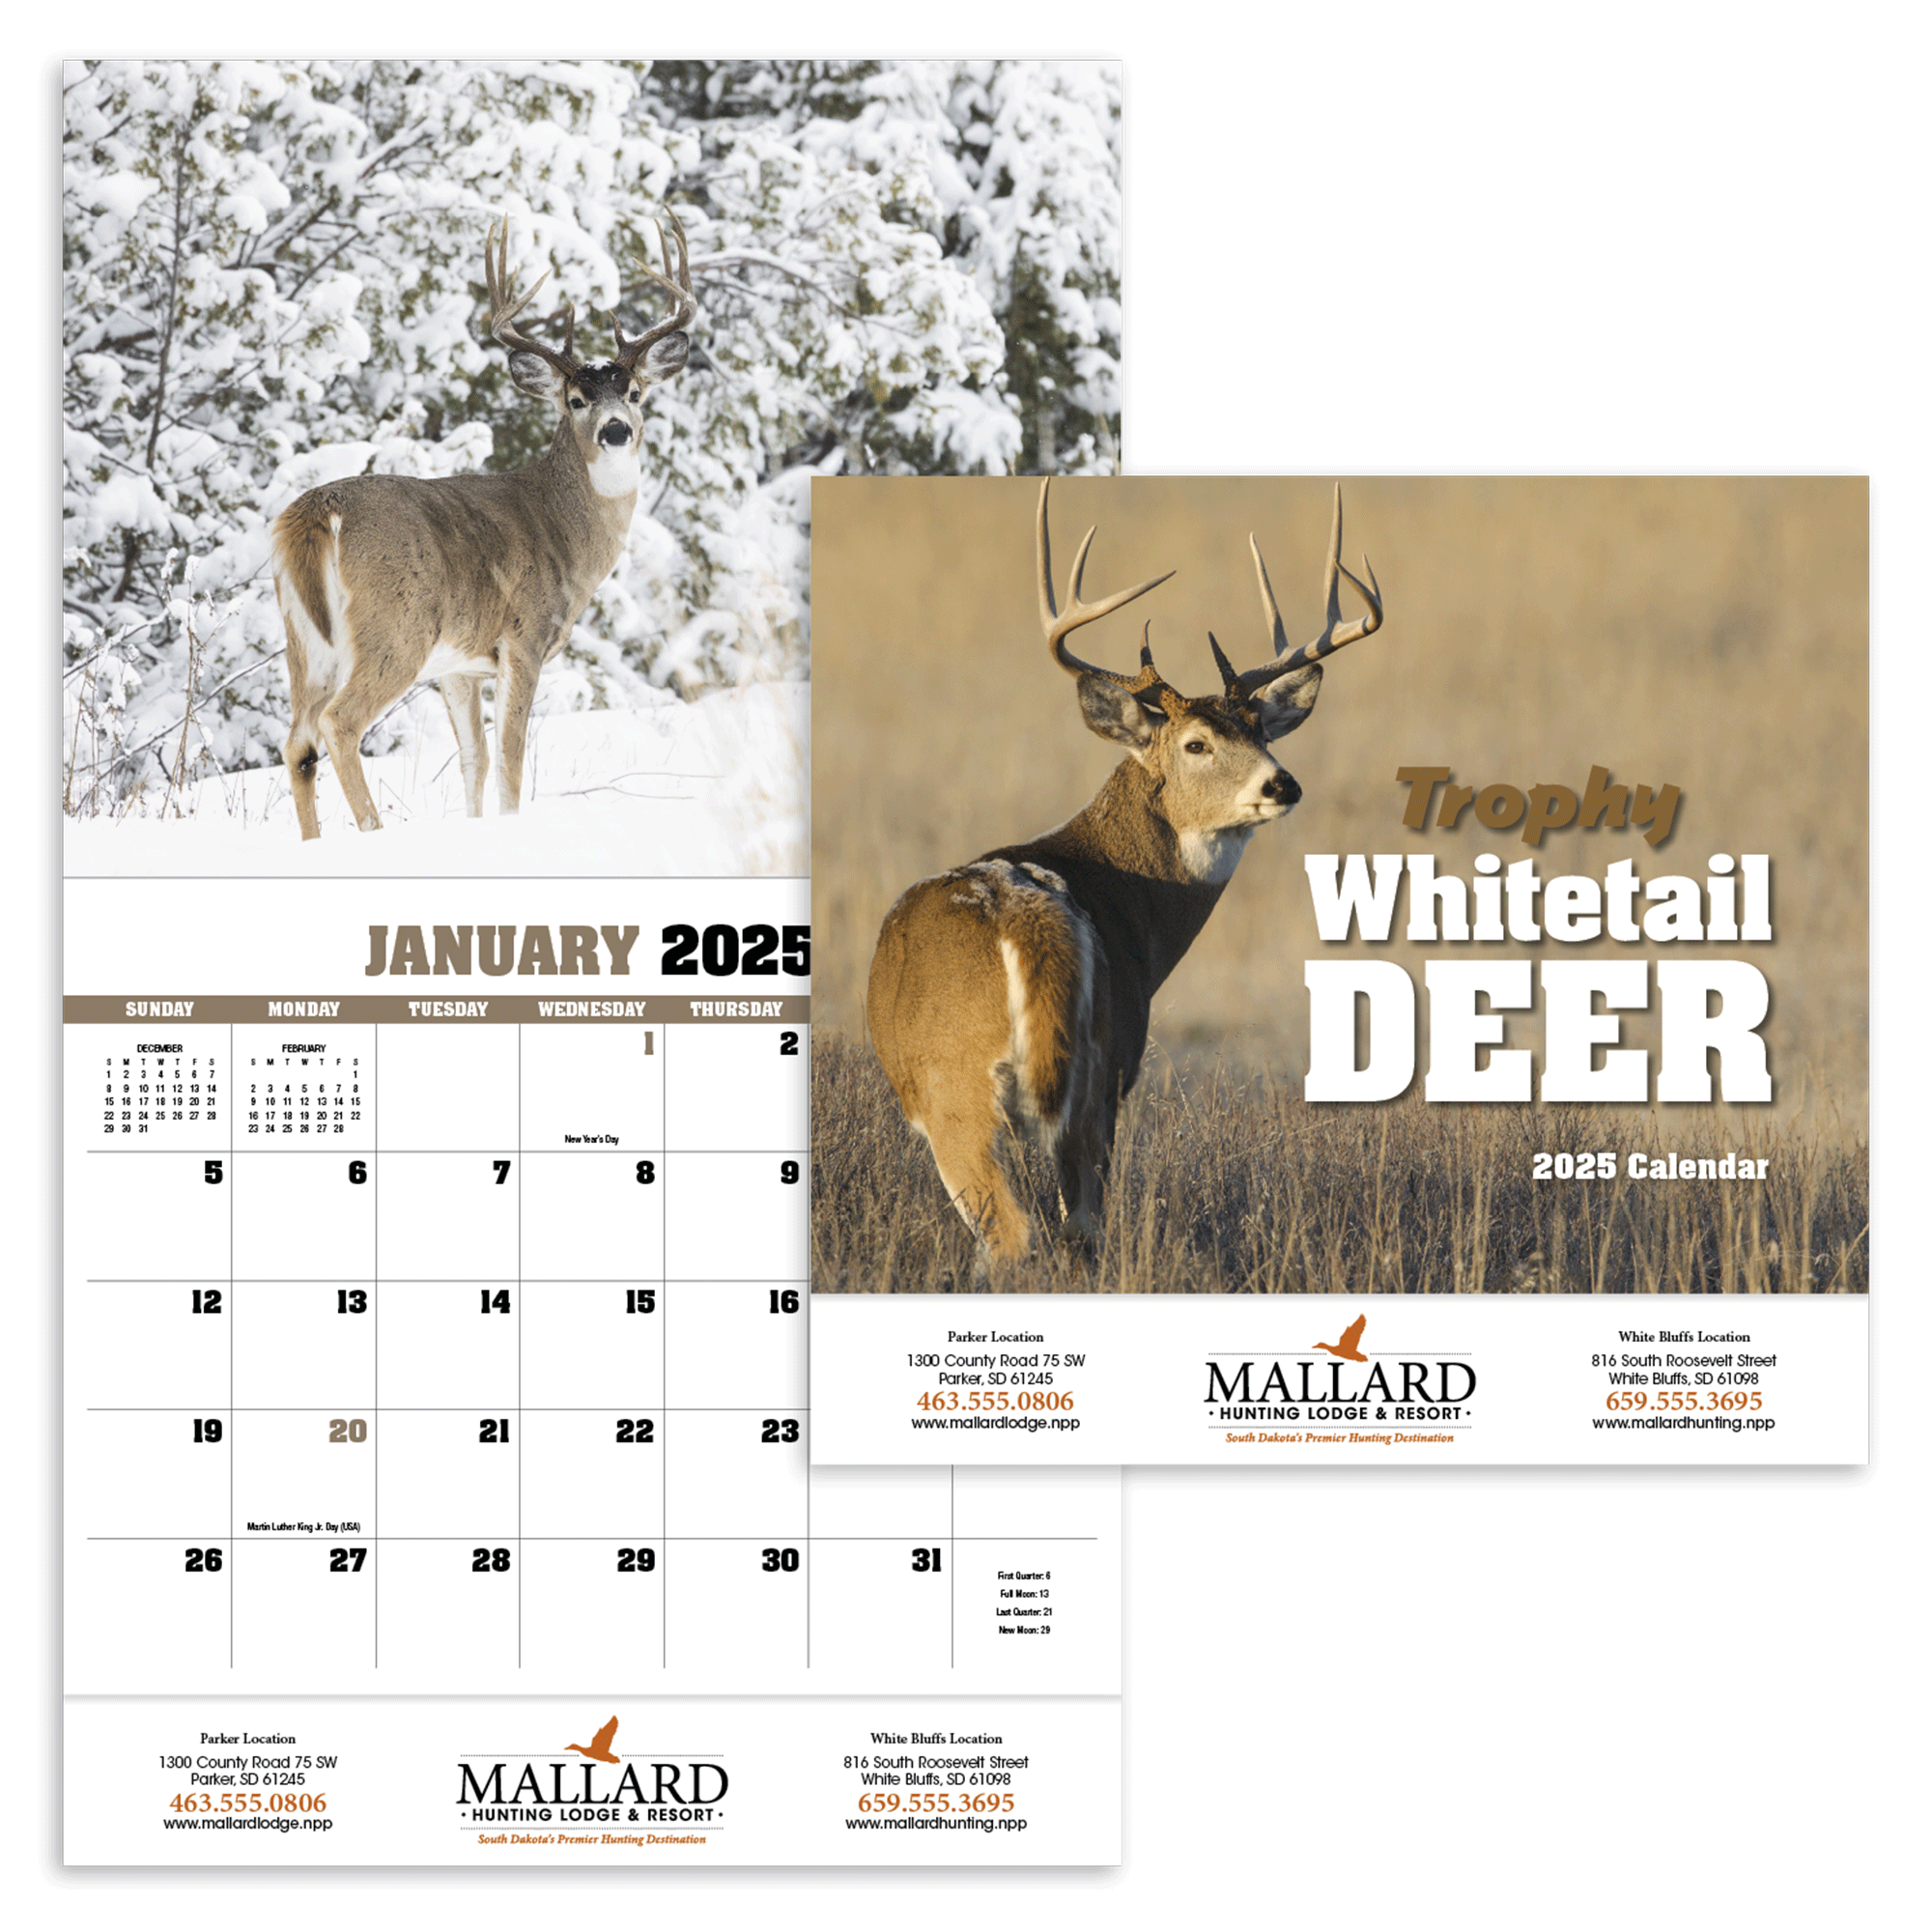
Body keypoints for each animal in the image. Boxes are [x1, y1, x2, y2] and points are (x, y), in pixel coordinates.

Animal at [271, 213, 696, 839]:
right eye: (574, 400)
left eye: (637, 393)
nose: (616, 429)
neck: (563, 530)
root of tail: (317, 512)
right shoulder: (522, 639)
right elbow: (511, 761)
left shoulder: (460, 667)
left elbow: (473, 761)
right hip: (394, 628)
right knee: (339, 724)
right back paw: (373, 831)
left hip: (303, 642)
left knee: (297, 743)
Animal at [866, 479, 1383, 1277]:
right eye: (1198, 743)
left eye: (1260, 730)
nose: (1283, 784)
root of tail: (1023, 916)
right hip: (1088, 1080)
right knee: (1077, 1227)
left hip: (965, 1083)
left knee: (1014, 1235)